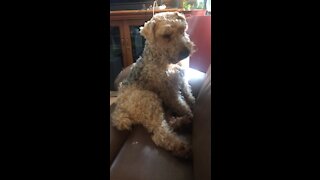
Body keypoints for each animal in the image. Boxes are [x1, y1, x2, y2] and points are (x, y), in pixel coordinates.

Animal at [111, 11, 195, 158]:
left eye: (183, 30)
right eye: (166, 35)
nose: (186, 52)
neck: (162, 58)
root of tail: (119, 110)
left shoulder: (181, 79)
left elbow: (188, 94)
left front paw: (192, 103)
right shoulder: (170, 91)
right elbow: (182, 104)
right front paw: (190, 112)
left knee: (167, 122)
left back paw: (181, 122)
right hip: (150, 100)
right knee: (160, 133)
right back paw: (181, 146)